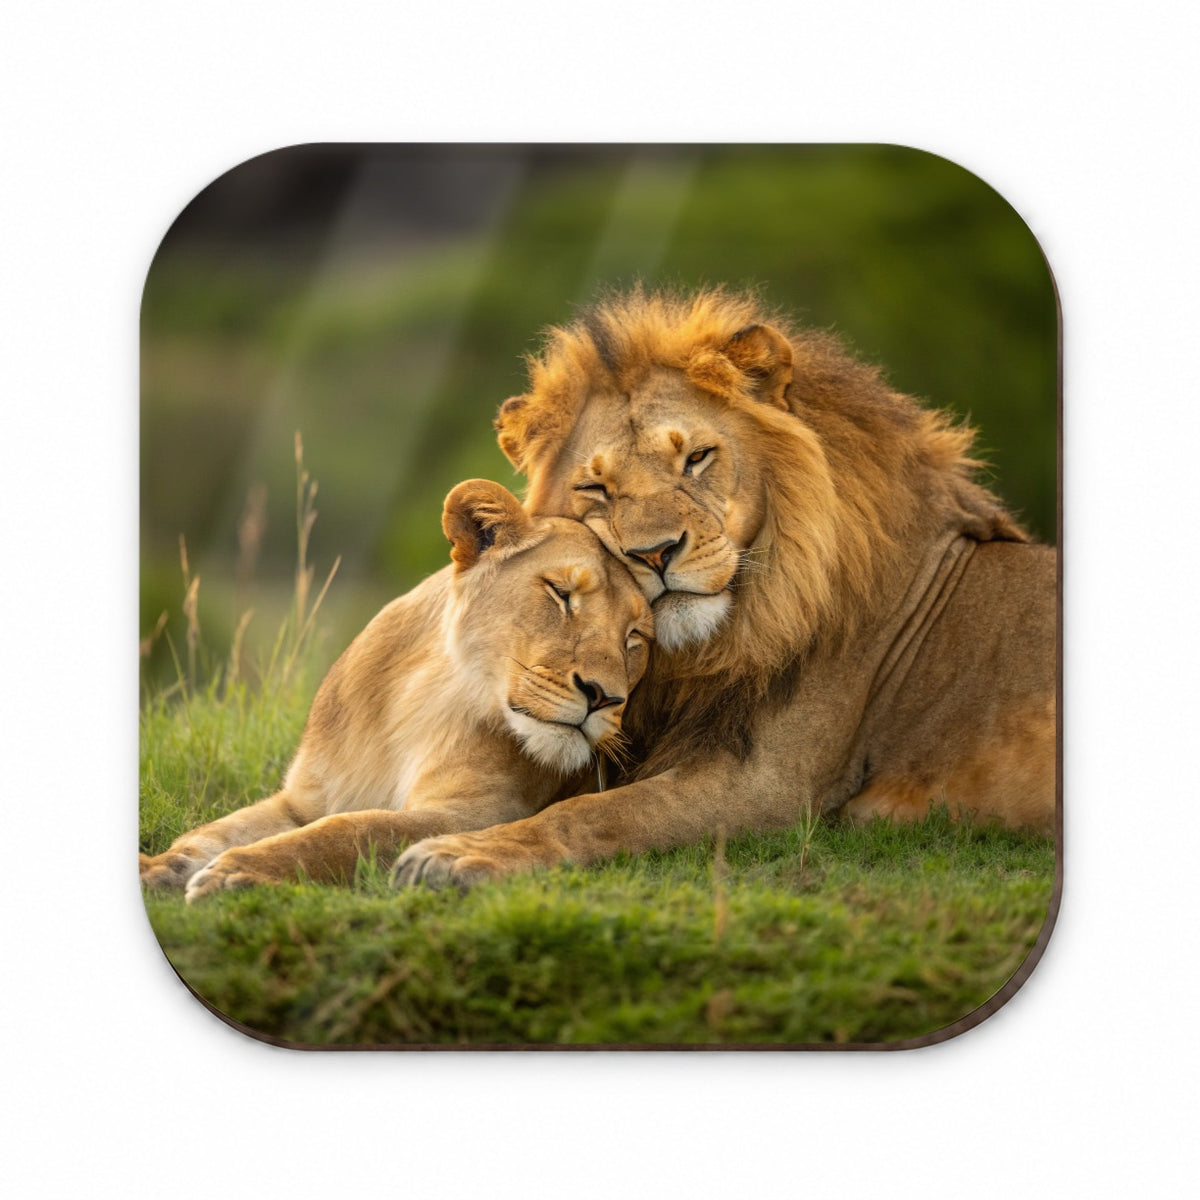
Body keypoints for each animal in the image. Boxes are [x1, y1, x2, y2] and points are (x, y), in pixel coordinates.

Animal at [139, 478, 653, 903]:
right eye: (561, 594)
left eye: (634, 637)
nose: (604, 696)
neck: (419, 702)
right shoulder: (301, 801)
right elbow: (209, 833)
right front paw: (158, 869)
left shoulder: (478, 817)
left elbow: (352, 829)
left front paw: (239, 871)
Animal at [390, 286, 1057, 890]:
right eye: (595, 488)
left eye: (697, 458)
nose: (654, 553)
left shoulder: (770, 785)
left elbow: (597, 812)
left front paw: (454, 856)